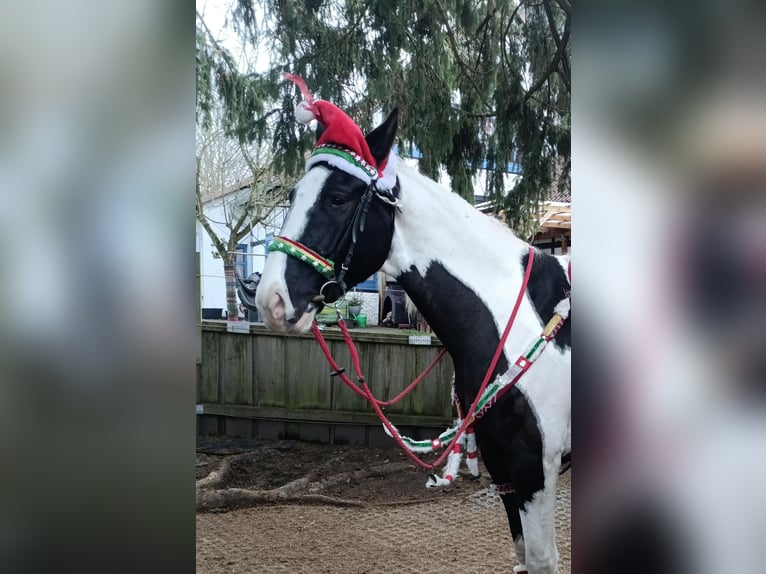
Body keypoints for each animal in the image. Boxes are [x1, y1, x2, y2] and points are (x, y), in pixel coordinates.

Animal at [255, 107, 571, 574]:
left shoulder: (536, 467)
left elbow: (542, 559)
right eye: (294, 195)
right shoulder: (503, 467)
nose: (271, 298)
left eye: (338, 198)